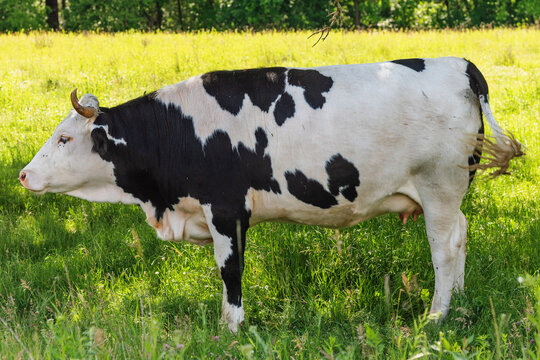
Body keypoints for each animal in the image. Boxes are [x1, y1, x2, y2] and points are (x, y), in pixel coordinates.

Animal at [20, 57, 524, 332]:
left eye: (65, 138)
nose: (24, 174)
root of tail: (457, 64)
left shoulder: (225, 209)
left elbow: (230, 270)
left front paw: (231, 327)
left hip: (439, 184)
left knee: (444, 247)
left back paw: (436, 315)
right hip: (448, 194)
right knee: (461, 235)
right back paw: (459, 302)